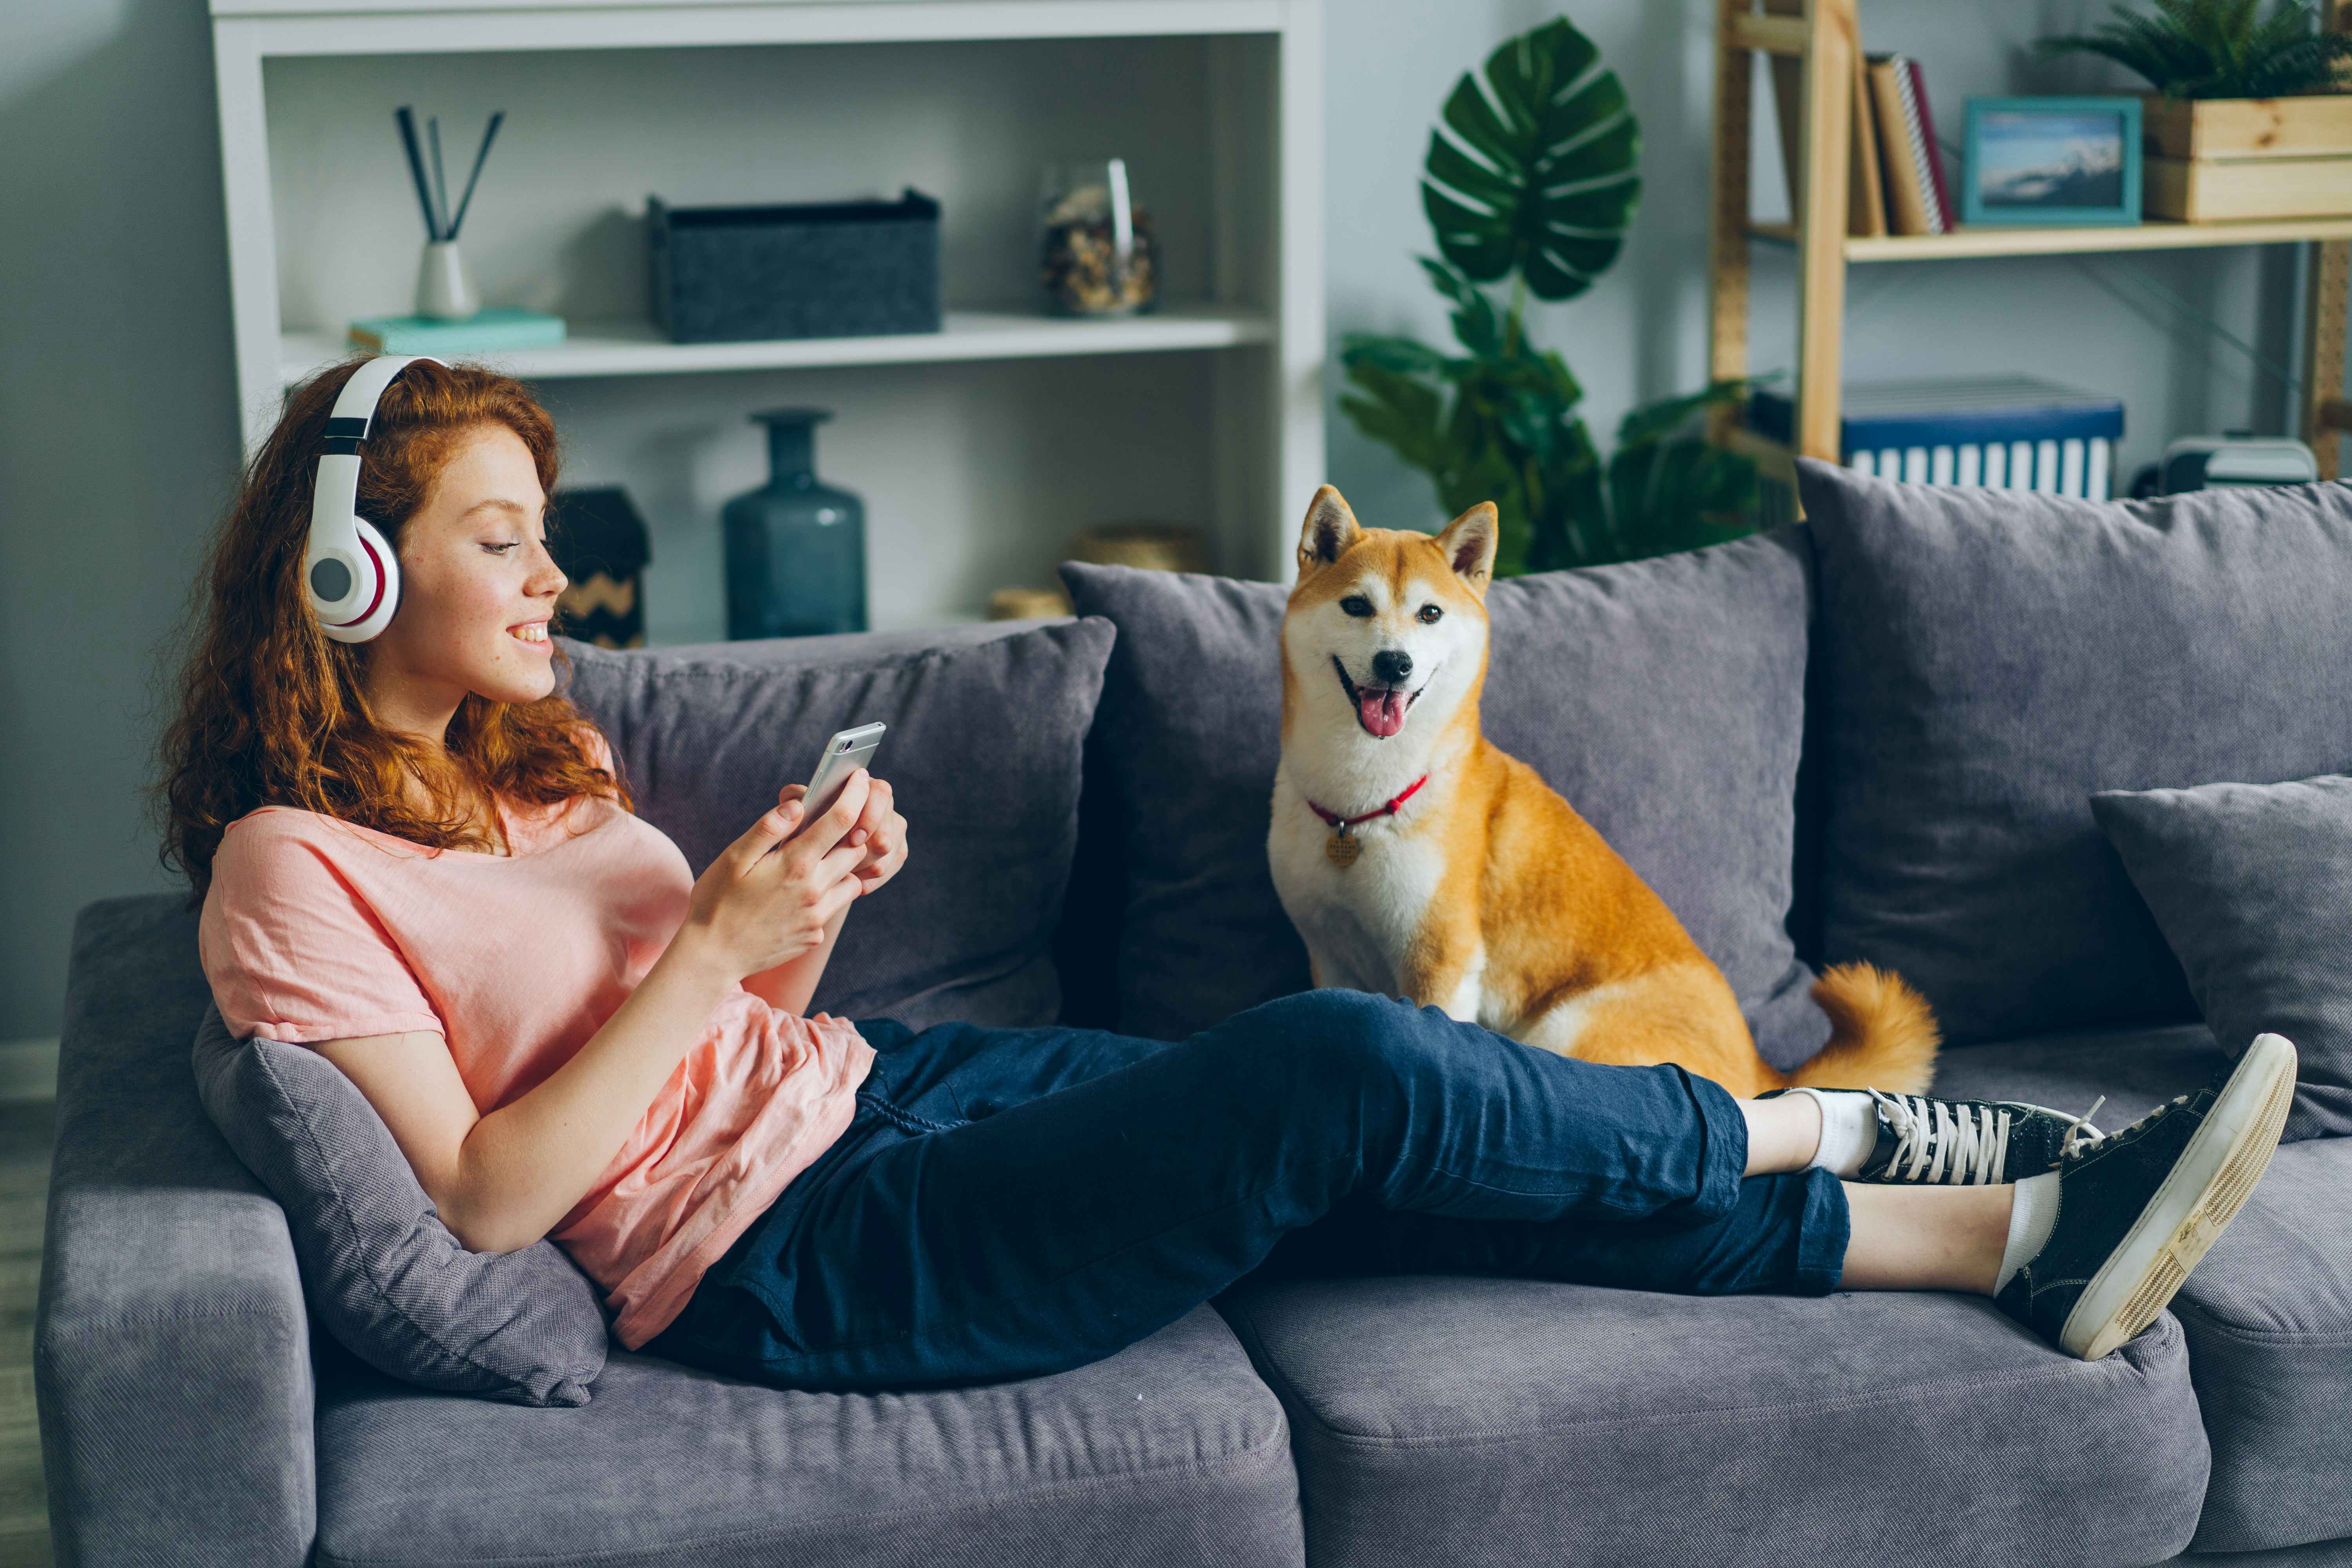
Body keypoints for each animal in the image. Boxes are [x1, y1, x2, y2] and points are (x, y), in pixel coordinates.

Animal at [1279, 484, 1938, 1100]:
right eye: (1357, 605)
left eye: (1430, 614)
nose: (1395, 664)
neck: (1360, 807)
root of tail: (1761, 1072)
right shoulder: (1328, 954)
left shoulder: (1440, 961)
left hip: (1569, 1029)